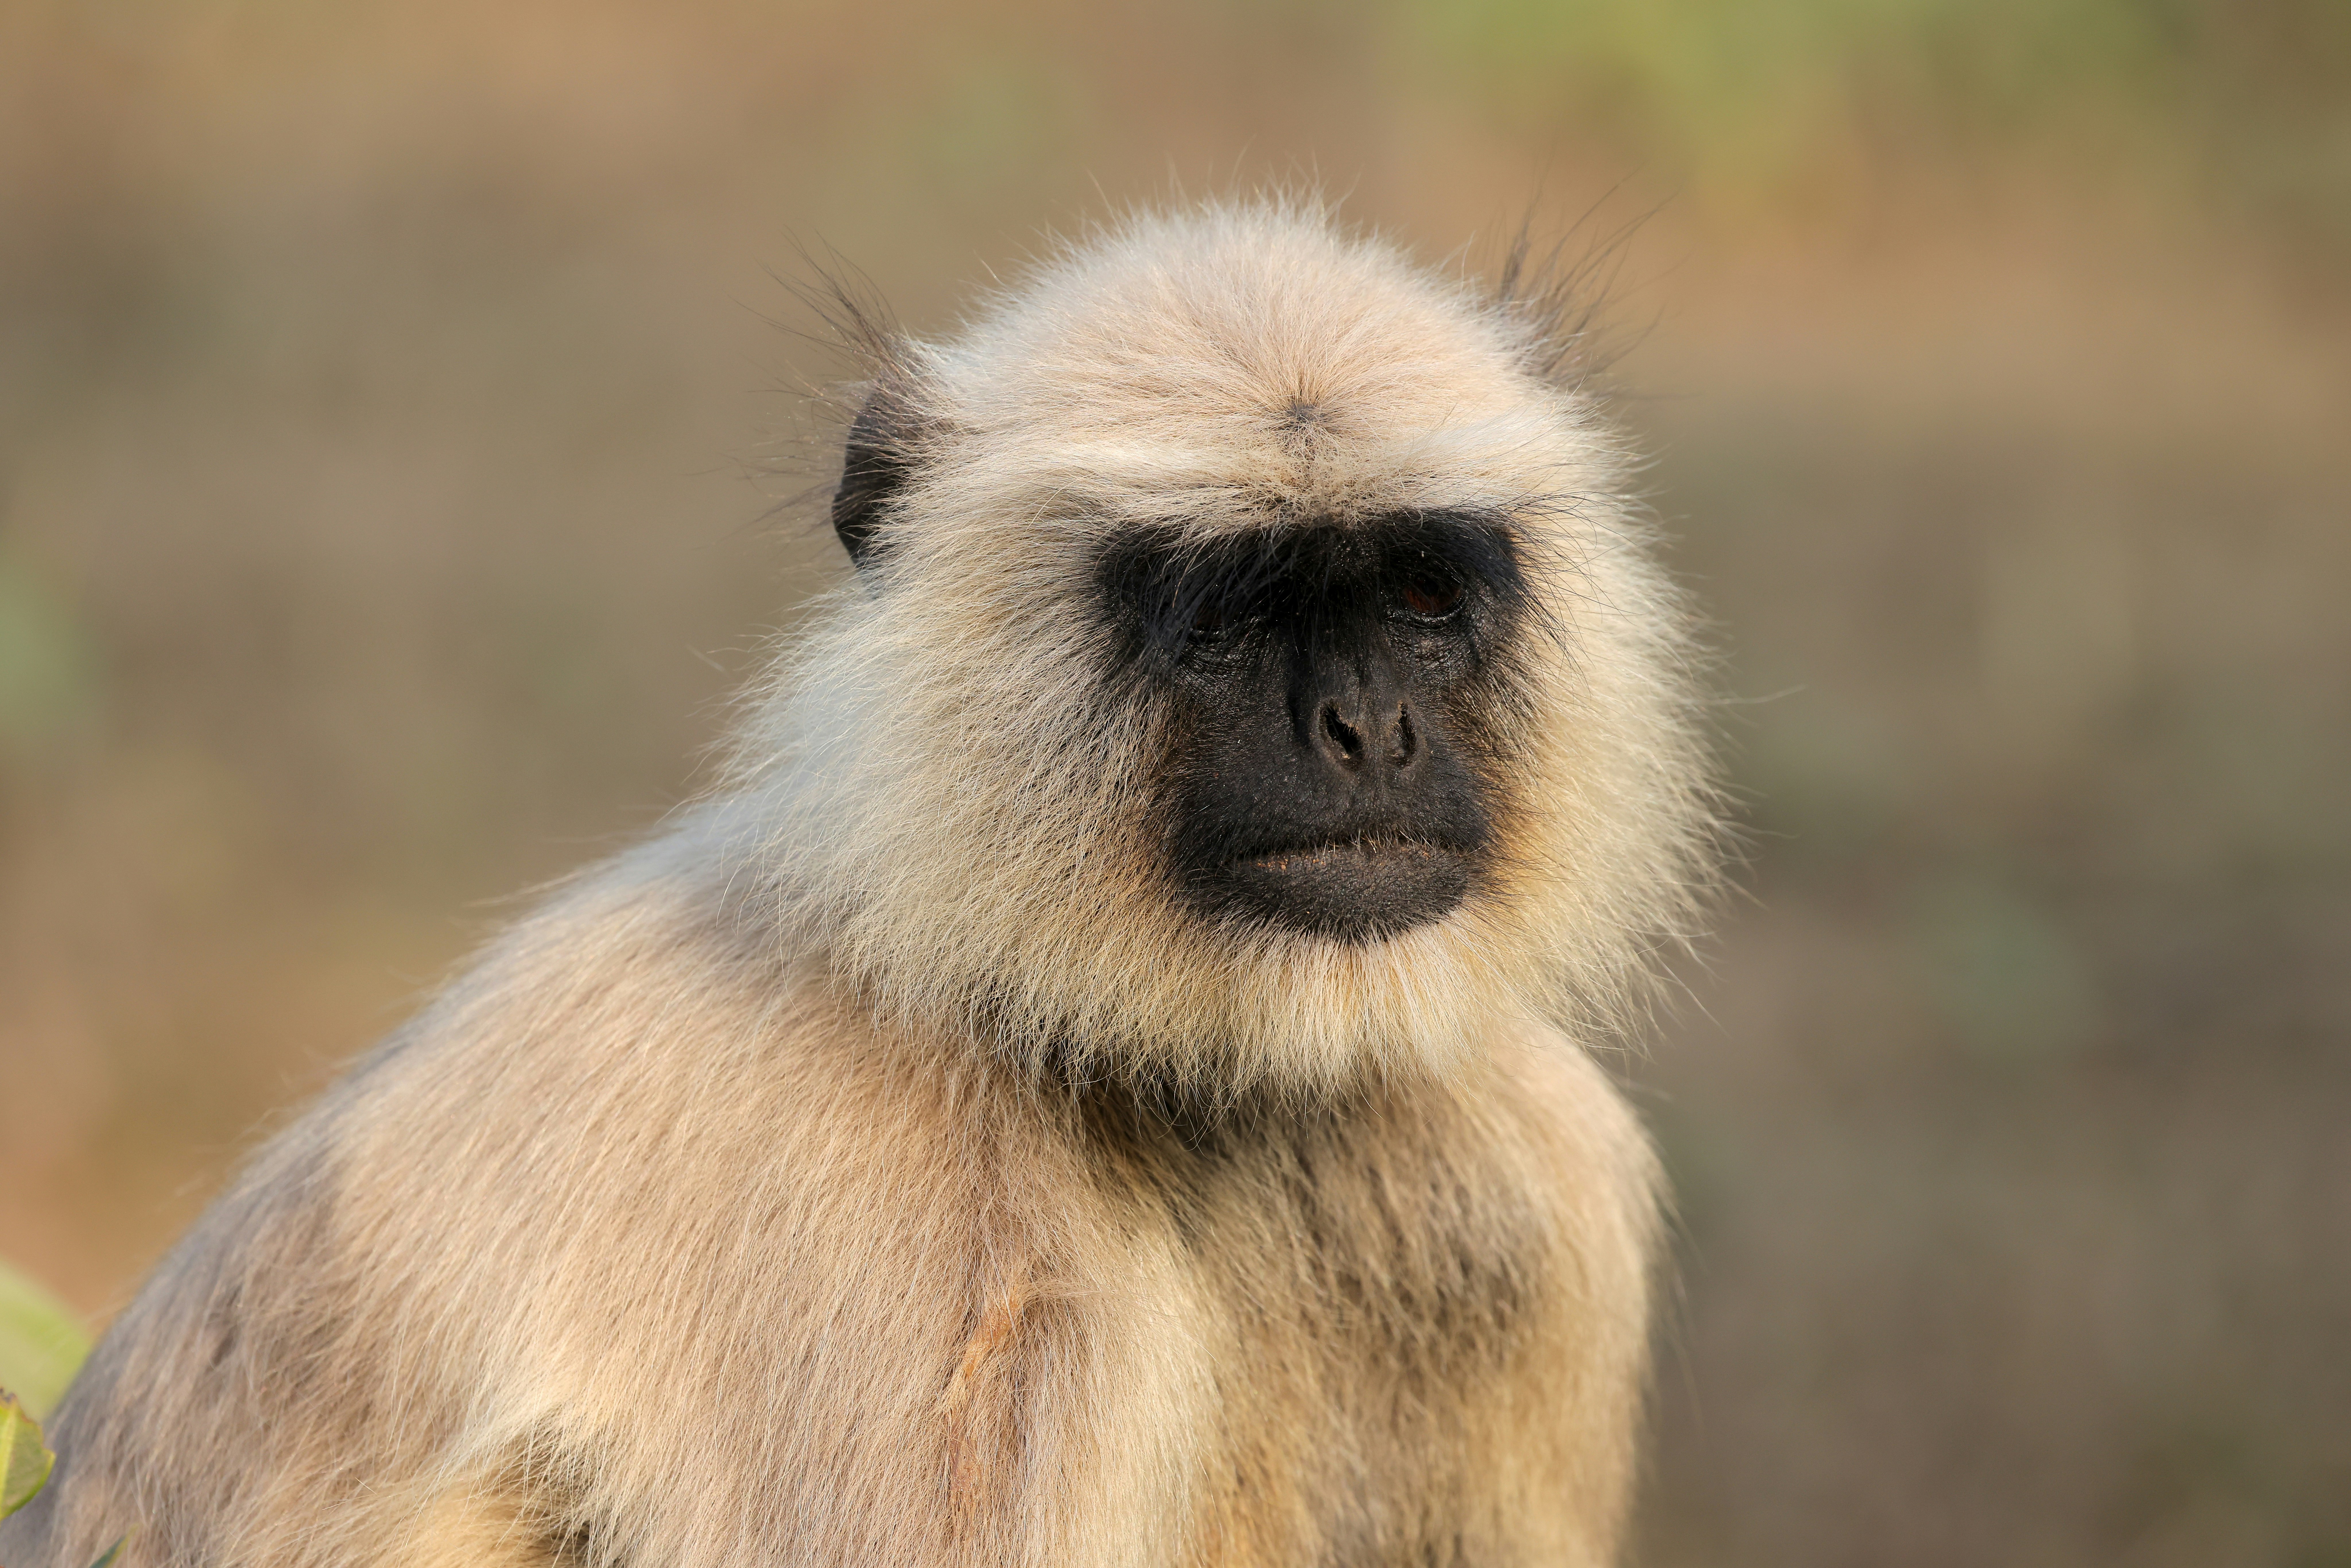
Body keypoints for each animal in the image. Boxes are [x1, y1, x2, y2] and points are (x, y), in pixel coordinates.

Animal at [0, 196, 1718, 1568]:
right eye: (1231, 613)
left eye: (1420, 594)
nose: (1367, 728)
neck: (1149, 1085)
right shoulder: (903, 1270)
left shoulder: (1524, 1182)